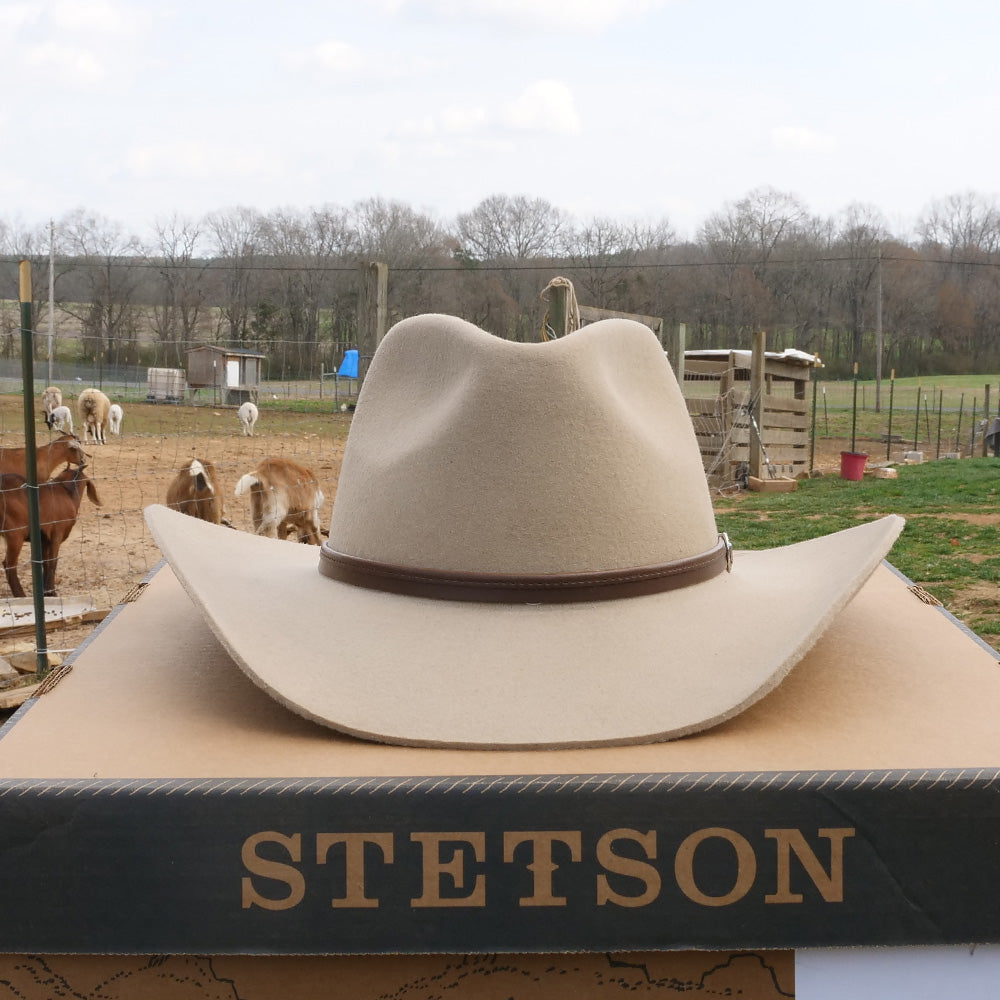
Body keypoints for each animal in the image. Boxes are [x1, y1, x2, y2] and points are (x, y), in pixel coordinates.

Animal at [0, 464, 101, 596]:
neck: (67, 492)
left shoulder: (44, 539)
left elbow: (45, 562)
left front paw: (46, 591)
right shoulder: (56, 533)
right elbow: (53, 562)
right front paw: (51, 592)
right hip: (15, 535)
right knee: (9, 565)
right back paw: (20, 595)